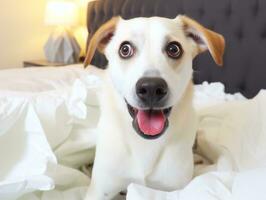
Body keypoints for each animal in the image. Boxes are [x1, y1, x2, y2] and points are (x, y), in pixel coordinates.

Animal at [83, 14, 224, 199]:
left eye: (174, 49)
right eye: (125, 49)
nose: (151, 88)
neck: (145, 144)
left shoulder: (174, 190)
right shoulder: (100, 190)